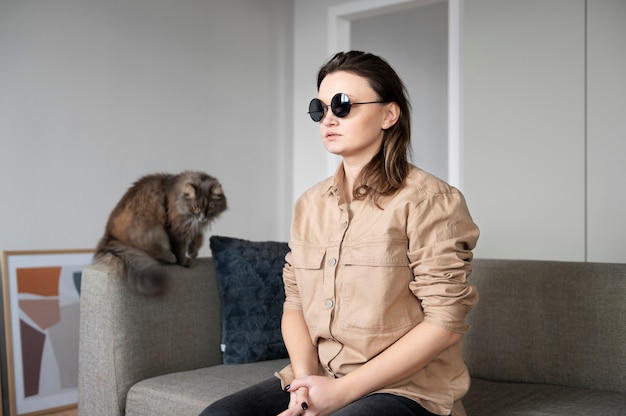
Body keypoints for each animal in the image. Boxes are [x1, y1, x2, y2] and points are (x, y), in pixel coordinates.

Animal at [95, 171, 227, 294]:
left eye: (210, 208)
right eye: (196, 208)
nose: (203, 217)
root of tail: (108, 236)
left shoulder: (191, 226)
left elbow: (198, 237)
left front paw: (193, 251)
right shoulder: (176, 229)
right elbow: (180, 248)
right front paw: (184, 261)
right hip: (155, 233)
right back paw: (169, 257)